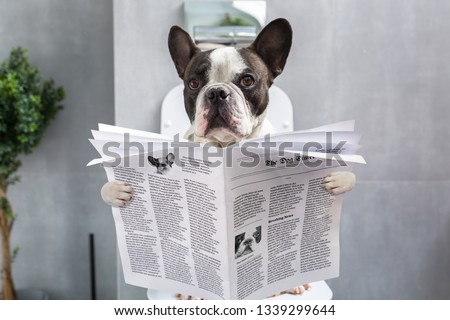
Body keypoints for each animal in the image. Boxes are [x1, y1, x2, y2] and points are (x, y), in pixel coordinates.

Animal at [101, 17, 356, 298]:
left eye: (247, 80)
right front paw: (116, 190)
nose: (216, 92)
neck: (225, 145)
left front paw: (338, 179)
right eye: (193, 83)